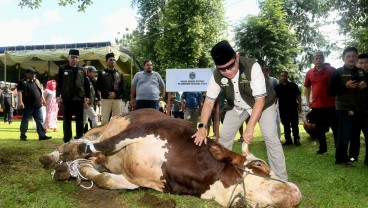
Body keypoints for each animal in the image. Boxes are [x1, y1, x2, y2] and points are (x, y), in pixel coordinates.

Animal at [40, 108, 302, 207]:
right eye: (259, 164)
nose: (296, 193)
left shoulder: (140, 181)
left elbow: (106, 180)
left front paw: (79, 172)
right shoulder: (141, 130)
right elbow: (95, 146)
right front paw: (65, 159)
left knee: (93, 157)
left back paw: (67, 168)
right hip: (105, 126)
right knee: (81, 140)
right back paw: (53, 157)